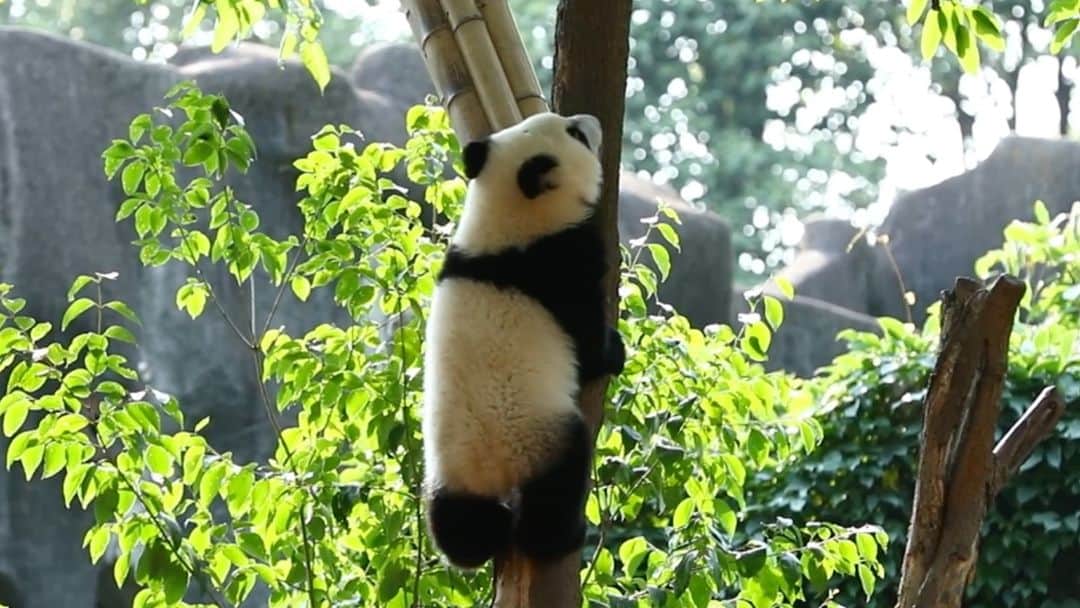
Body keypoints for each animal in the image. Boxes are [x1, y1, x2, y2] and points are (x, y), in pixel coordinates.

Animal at [422, 111, 626, 569]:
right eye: (575, 134)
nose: (590, 119)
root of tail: (491, 468)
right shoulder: (560, 265)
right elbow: (587, 344)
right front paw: (614, 352)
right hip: (540, 436)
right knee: (560, 481)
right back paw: (559, 537)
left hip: (447, 471)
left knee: (457, 527)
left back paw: (483, 534)